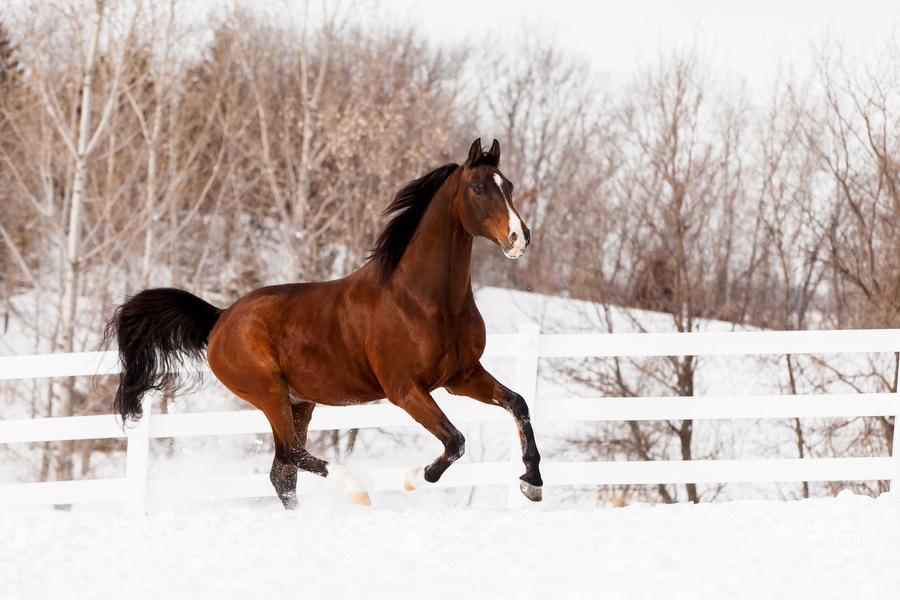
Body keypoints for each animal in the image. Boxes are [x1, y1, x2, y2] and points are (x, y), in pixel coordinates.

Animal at [105, 138, 540, 508]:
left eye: (509, 185)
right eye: (478, 189)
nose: (520, 238)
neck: (425, 302)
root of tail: (221, 318)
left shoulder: (461, 375)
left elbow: (518, 404)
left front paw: (532, 482)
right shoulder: (405, 390)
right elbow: (455, 441)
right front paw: (413, 478)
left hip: (300, 402)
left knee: (283, 472)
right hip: (269, 393)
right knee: (290, 454)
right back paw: (356, 490)